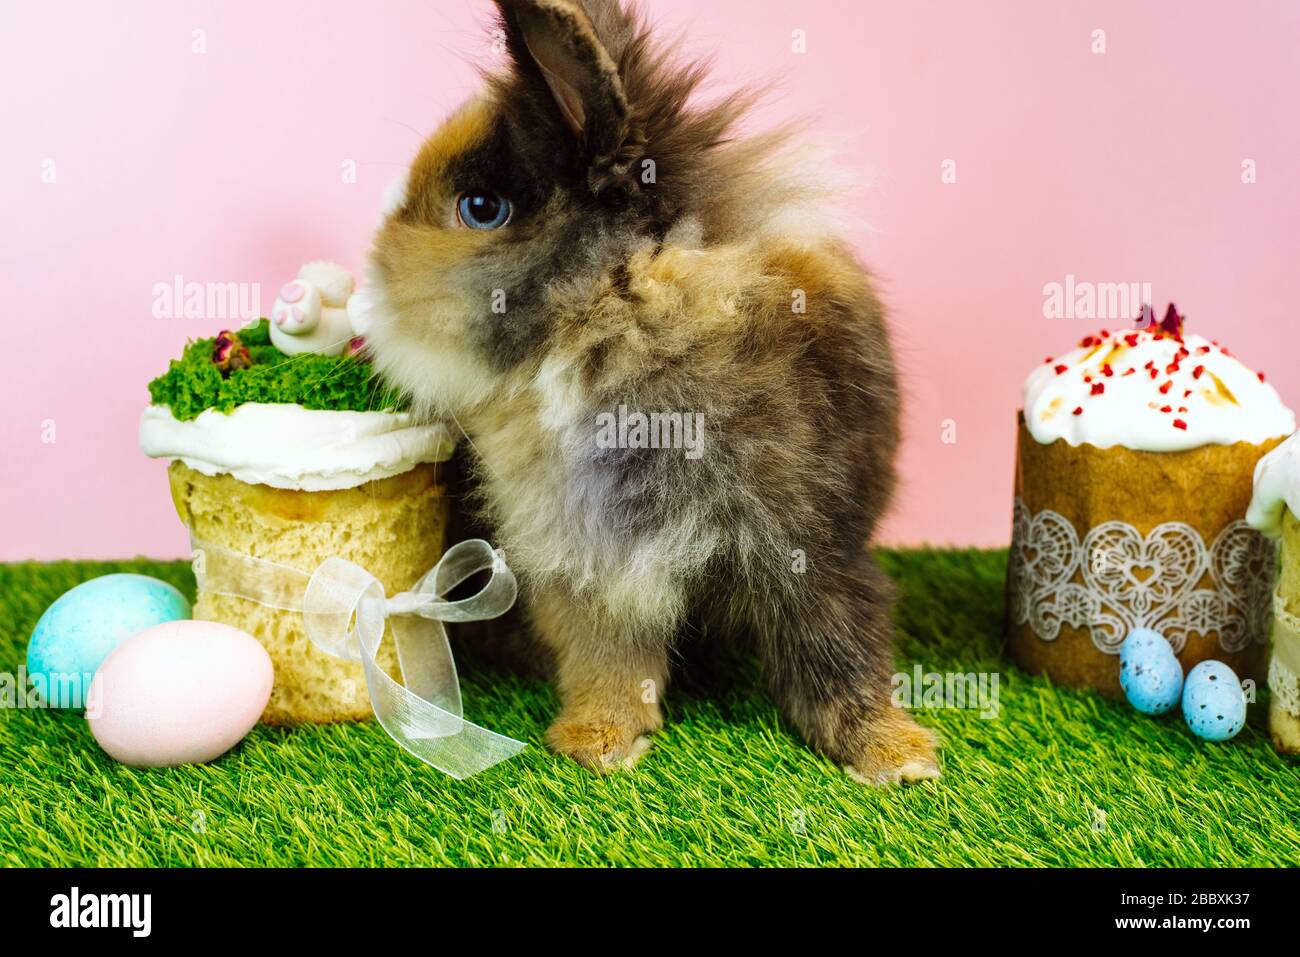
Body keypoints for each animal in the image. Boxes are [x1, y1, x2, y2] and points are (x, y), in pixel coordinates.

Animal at [361, 0, 941, 785]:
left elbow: (838, 649)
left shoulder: (813, 546)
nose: (373, 283)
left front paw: (894, 757)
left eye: (480, 208)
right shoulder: (590, 560)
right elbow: (608, 655)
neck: (614, 317)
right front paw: (598, 742)